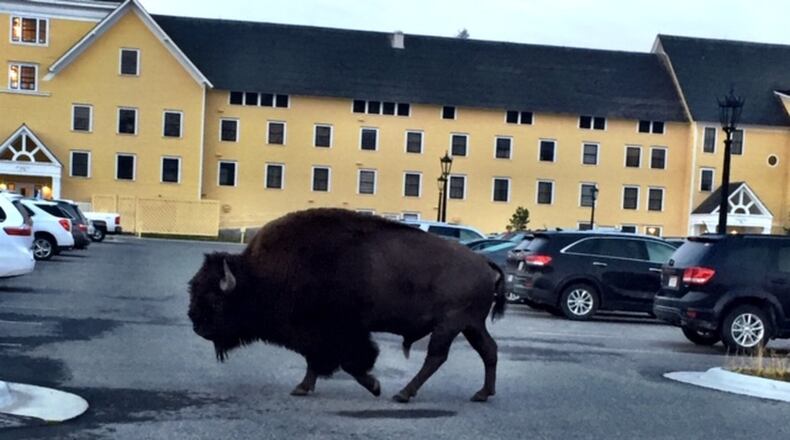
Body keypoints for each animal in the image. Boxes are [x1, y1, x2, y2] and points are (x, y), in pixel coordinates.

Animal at [188, 208, 505, 402]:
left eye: (214, 299)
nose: (197, 325)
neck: (260, 275)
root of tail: (484, 262)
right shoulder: (314, 336)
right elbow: (314, 360)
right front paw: (302, 387)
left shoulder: (339, 332)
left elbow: (350, 361)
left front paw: (375, 386)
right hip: (471, 325)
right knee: (488, 350)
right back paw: (482, 393)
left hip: (449, 326)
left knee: (436, 357)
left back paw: (403, 393)